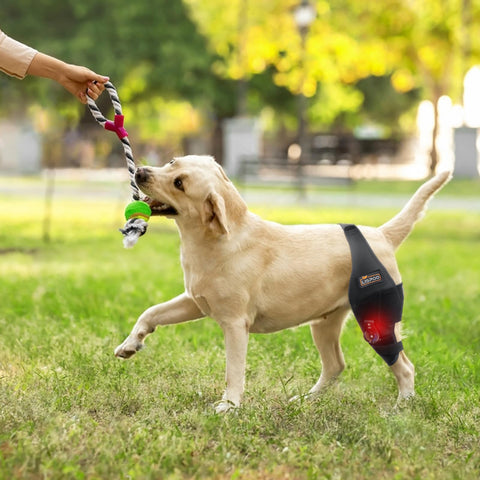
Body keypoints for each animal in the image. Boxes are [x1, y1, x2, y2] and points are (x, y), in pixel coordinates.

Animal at [114, 155, 452, 412]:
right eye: (173, 162)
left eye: (180, 184)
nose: (140, 172)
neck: (217, 239)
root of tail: (381, 234)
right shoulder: (194, 301)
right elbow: (151, 312)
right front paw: (130, 344)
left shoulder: (235, 324)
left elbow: (233, 371)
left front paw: (229, 406)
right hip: (324, 324)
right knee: (335, 366)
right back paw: (305, 400)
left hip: (378, 321)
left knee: (404, 367)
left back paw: (402, 406)